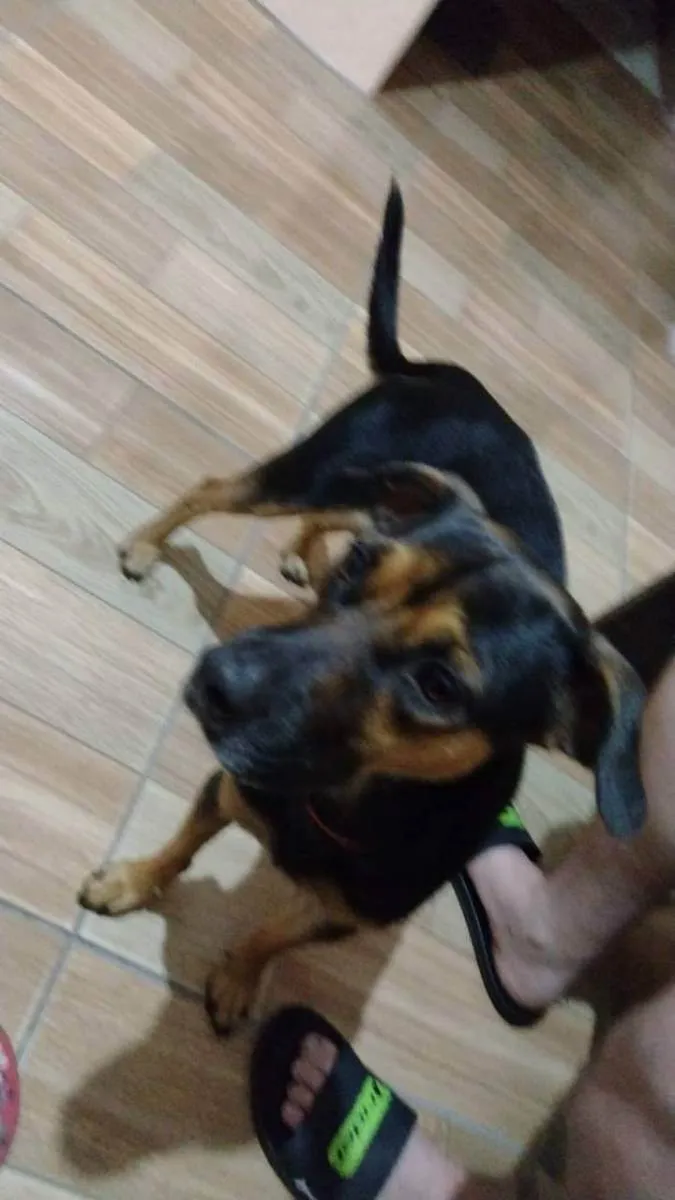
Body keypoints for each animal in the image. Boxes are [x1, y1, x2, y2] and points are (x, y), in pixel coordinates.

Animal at [79, 183, 646, 1035]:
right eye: (359, 574)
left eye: (439, 686)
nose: (210, 683)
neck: (346, 803)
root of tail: (436, 373)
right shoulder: (224, 790)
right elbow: (181, 848)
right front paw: (132, 882)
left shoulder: (347, 916)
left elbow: (276, 934)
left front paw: (240, 976)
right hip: (315, 471)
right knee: (216, 487)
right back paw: (150, 546)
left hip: (363, 490)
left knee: (321, 512)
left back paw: (292, 553)